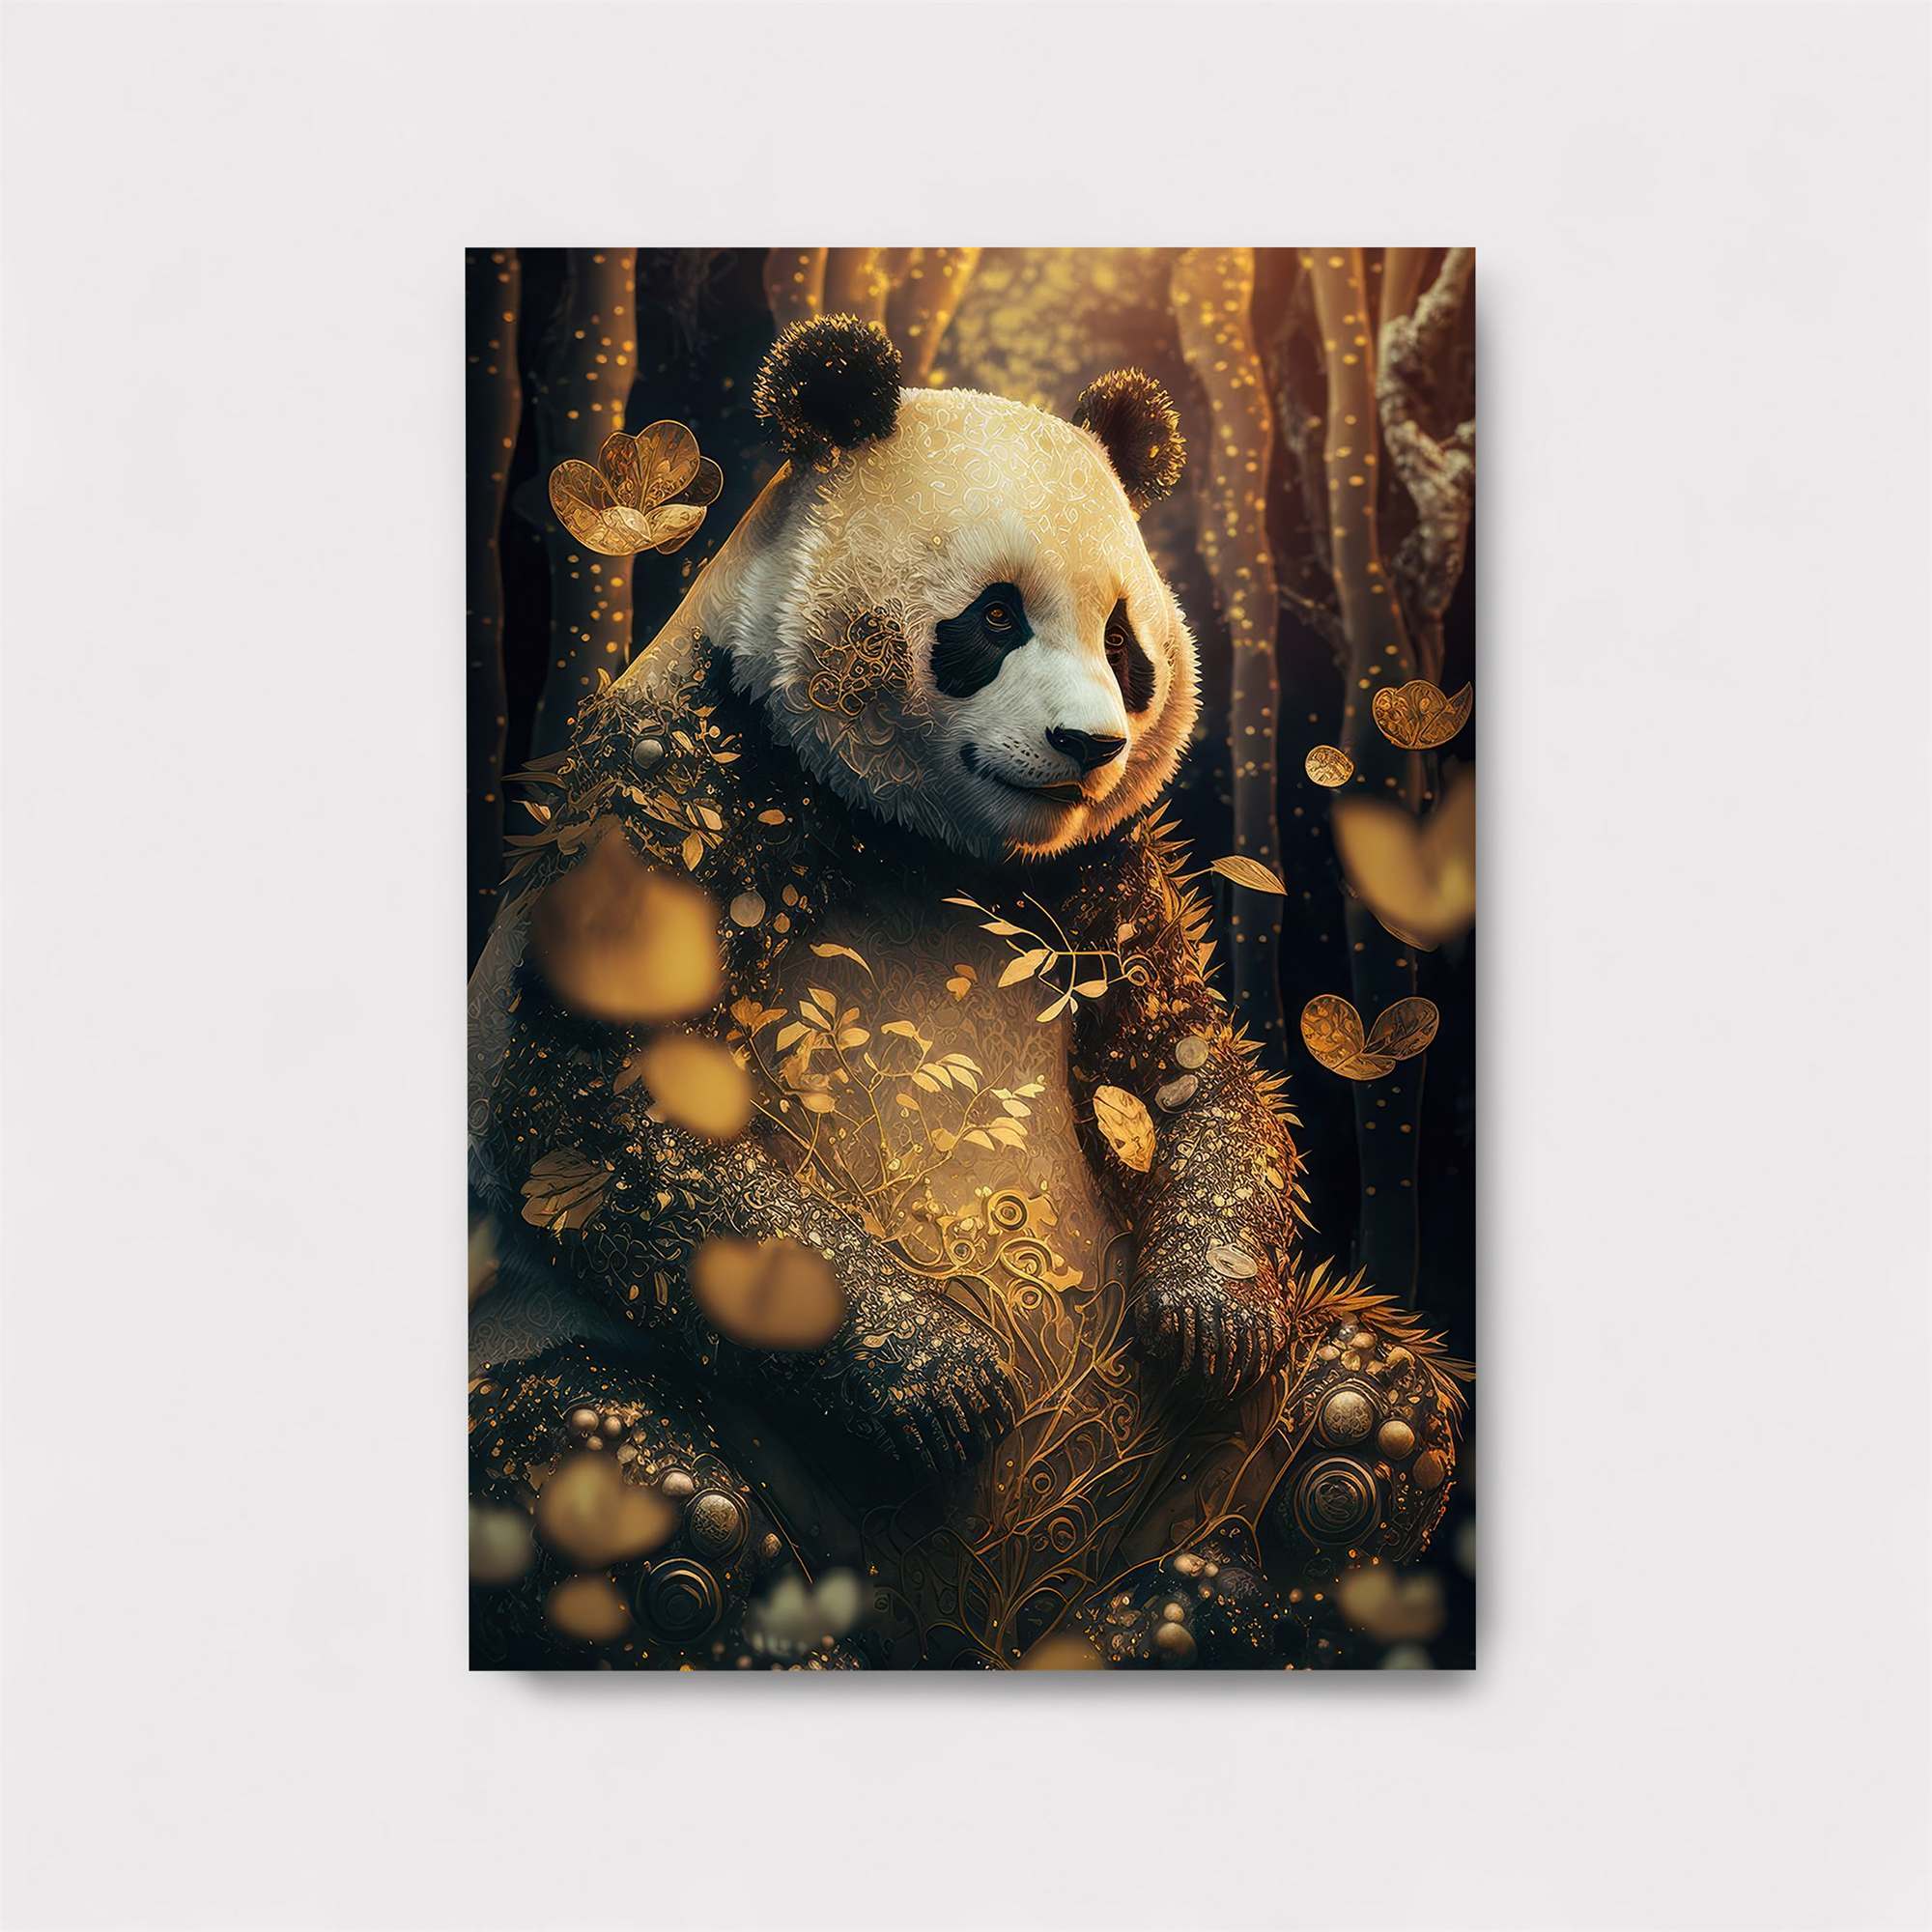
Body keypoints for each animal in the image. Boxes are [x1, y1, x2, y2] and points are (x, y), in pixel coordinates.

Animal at [467, 316, 1462, 1669]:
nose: (1090, 745)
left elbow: (1178, 1064)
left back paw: (1187, 1598)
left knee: (1370, 1400)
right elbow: (593, 1093)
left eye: (1124, 643)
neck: (922, 836)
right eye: (993, 617)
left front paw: (1207, 1311)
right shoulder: (687, 775)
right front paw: (940, 1372)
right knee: (598, 1463)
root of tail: (981, 1627)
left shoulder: (1103, 871)